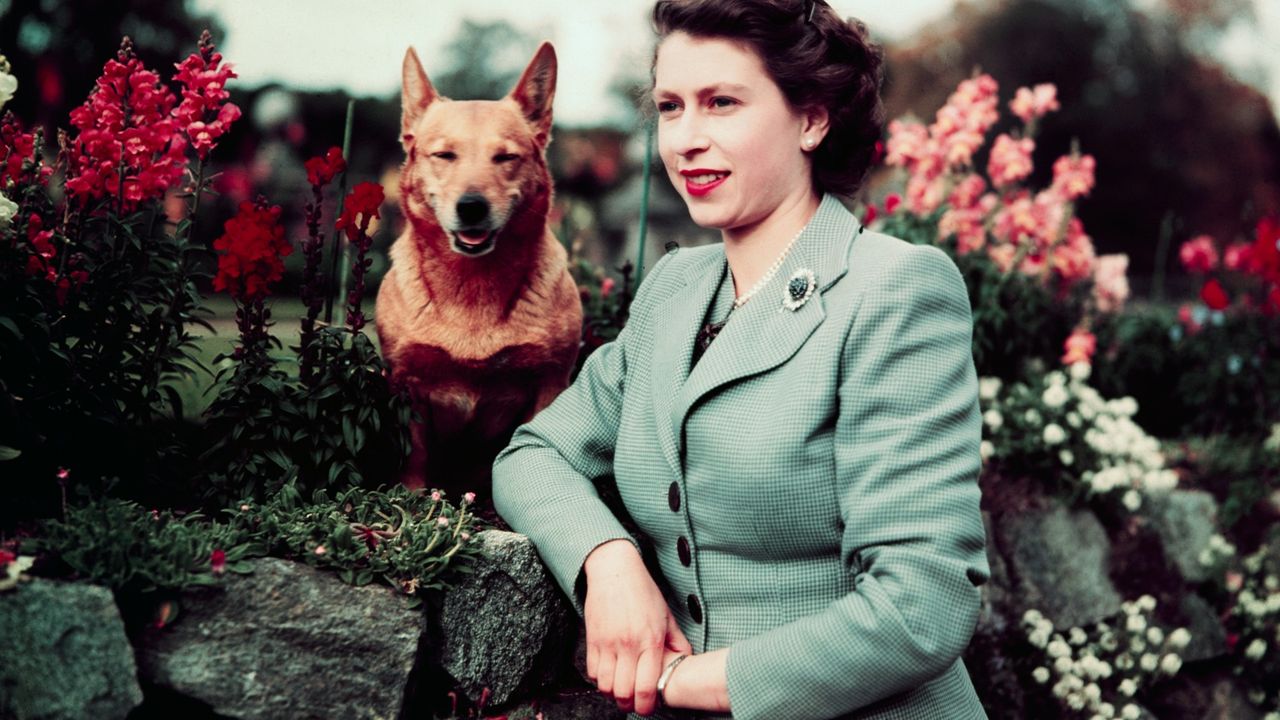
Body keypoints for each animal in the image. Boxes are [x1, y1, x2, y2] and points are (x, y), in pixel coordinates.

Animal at [376, 41, 583, 497]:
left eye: (505, 157)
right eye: (444, 155)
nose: (471, 206)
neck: (473, 285)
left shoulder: (550, 383)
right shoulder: (407, 382)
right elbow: (414, 455)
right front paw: (412, 499)